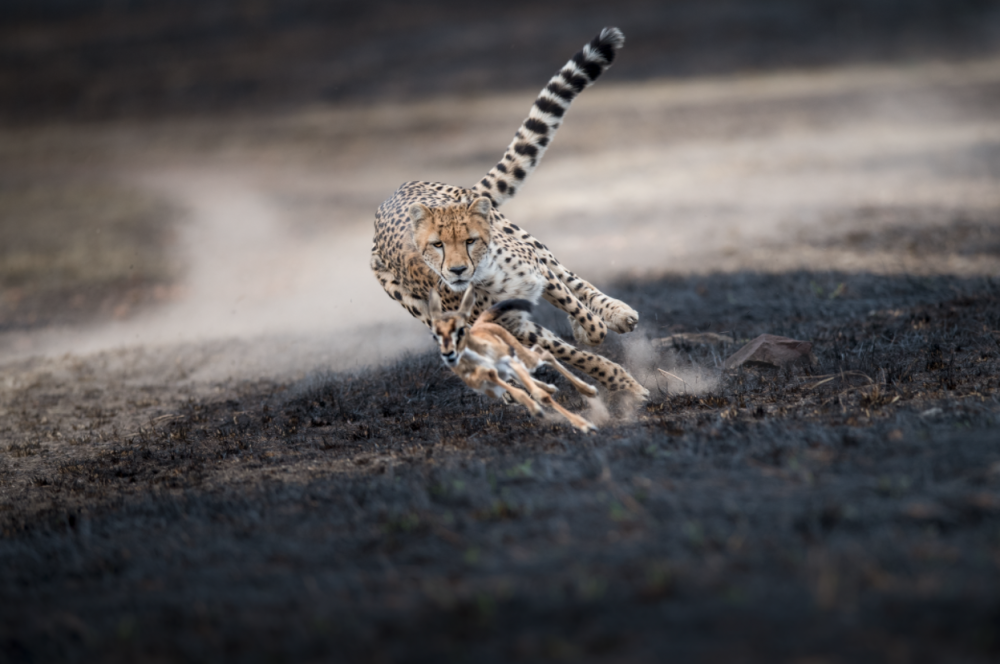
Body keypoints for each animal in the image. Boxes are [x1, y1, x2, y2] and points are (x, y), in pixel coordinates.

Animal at [370, 26, 648, 400]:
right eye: (436, 245)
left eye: (470, 241)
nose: (456, 270)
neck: (487, 276)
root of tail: (395, 192)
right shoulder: (514, 323)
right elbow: (573, 353)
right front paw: (618, 380)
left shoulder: (540, 274)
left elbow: (581, 312)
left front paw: (591, 330)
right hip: (428, 311)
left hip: (529, 242)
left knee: (574, 280)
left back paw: (616, 313)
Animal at [426, 286, 596, 434]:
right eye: (434, 335)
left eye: (460, 330)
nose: (449, 354)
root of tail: (481, 323)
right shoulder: (491, 382)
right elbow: (522, 393)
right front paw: (537, 409)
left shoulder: (508, 365)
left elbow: (539, 395)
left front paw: (586, 425)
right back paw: (553, 388)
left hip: (524, 358)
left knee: (544, 353)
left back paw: (588, 390)